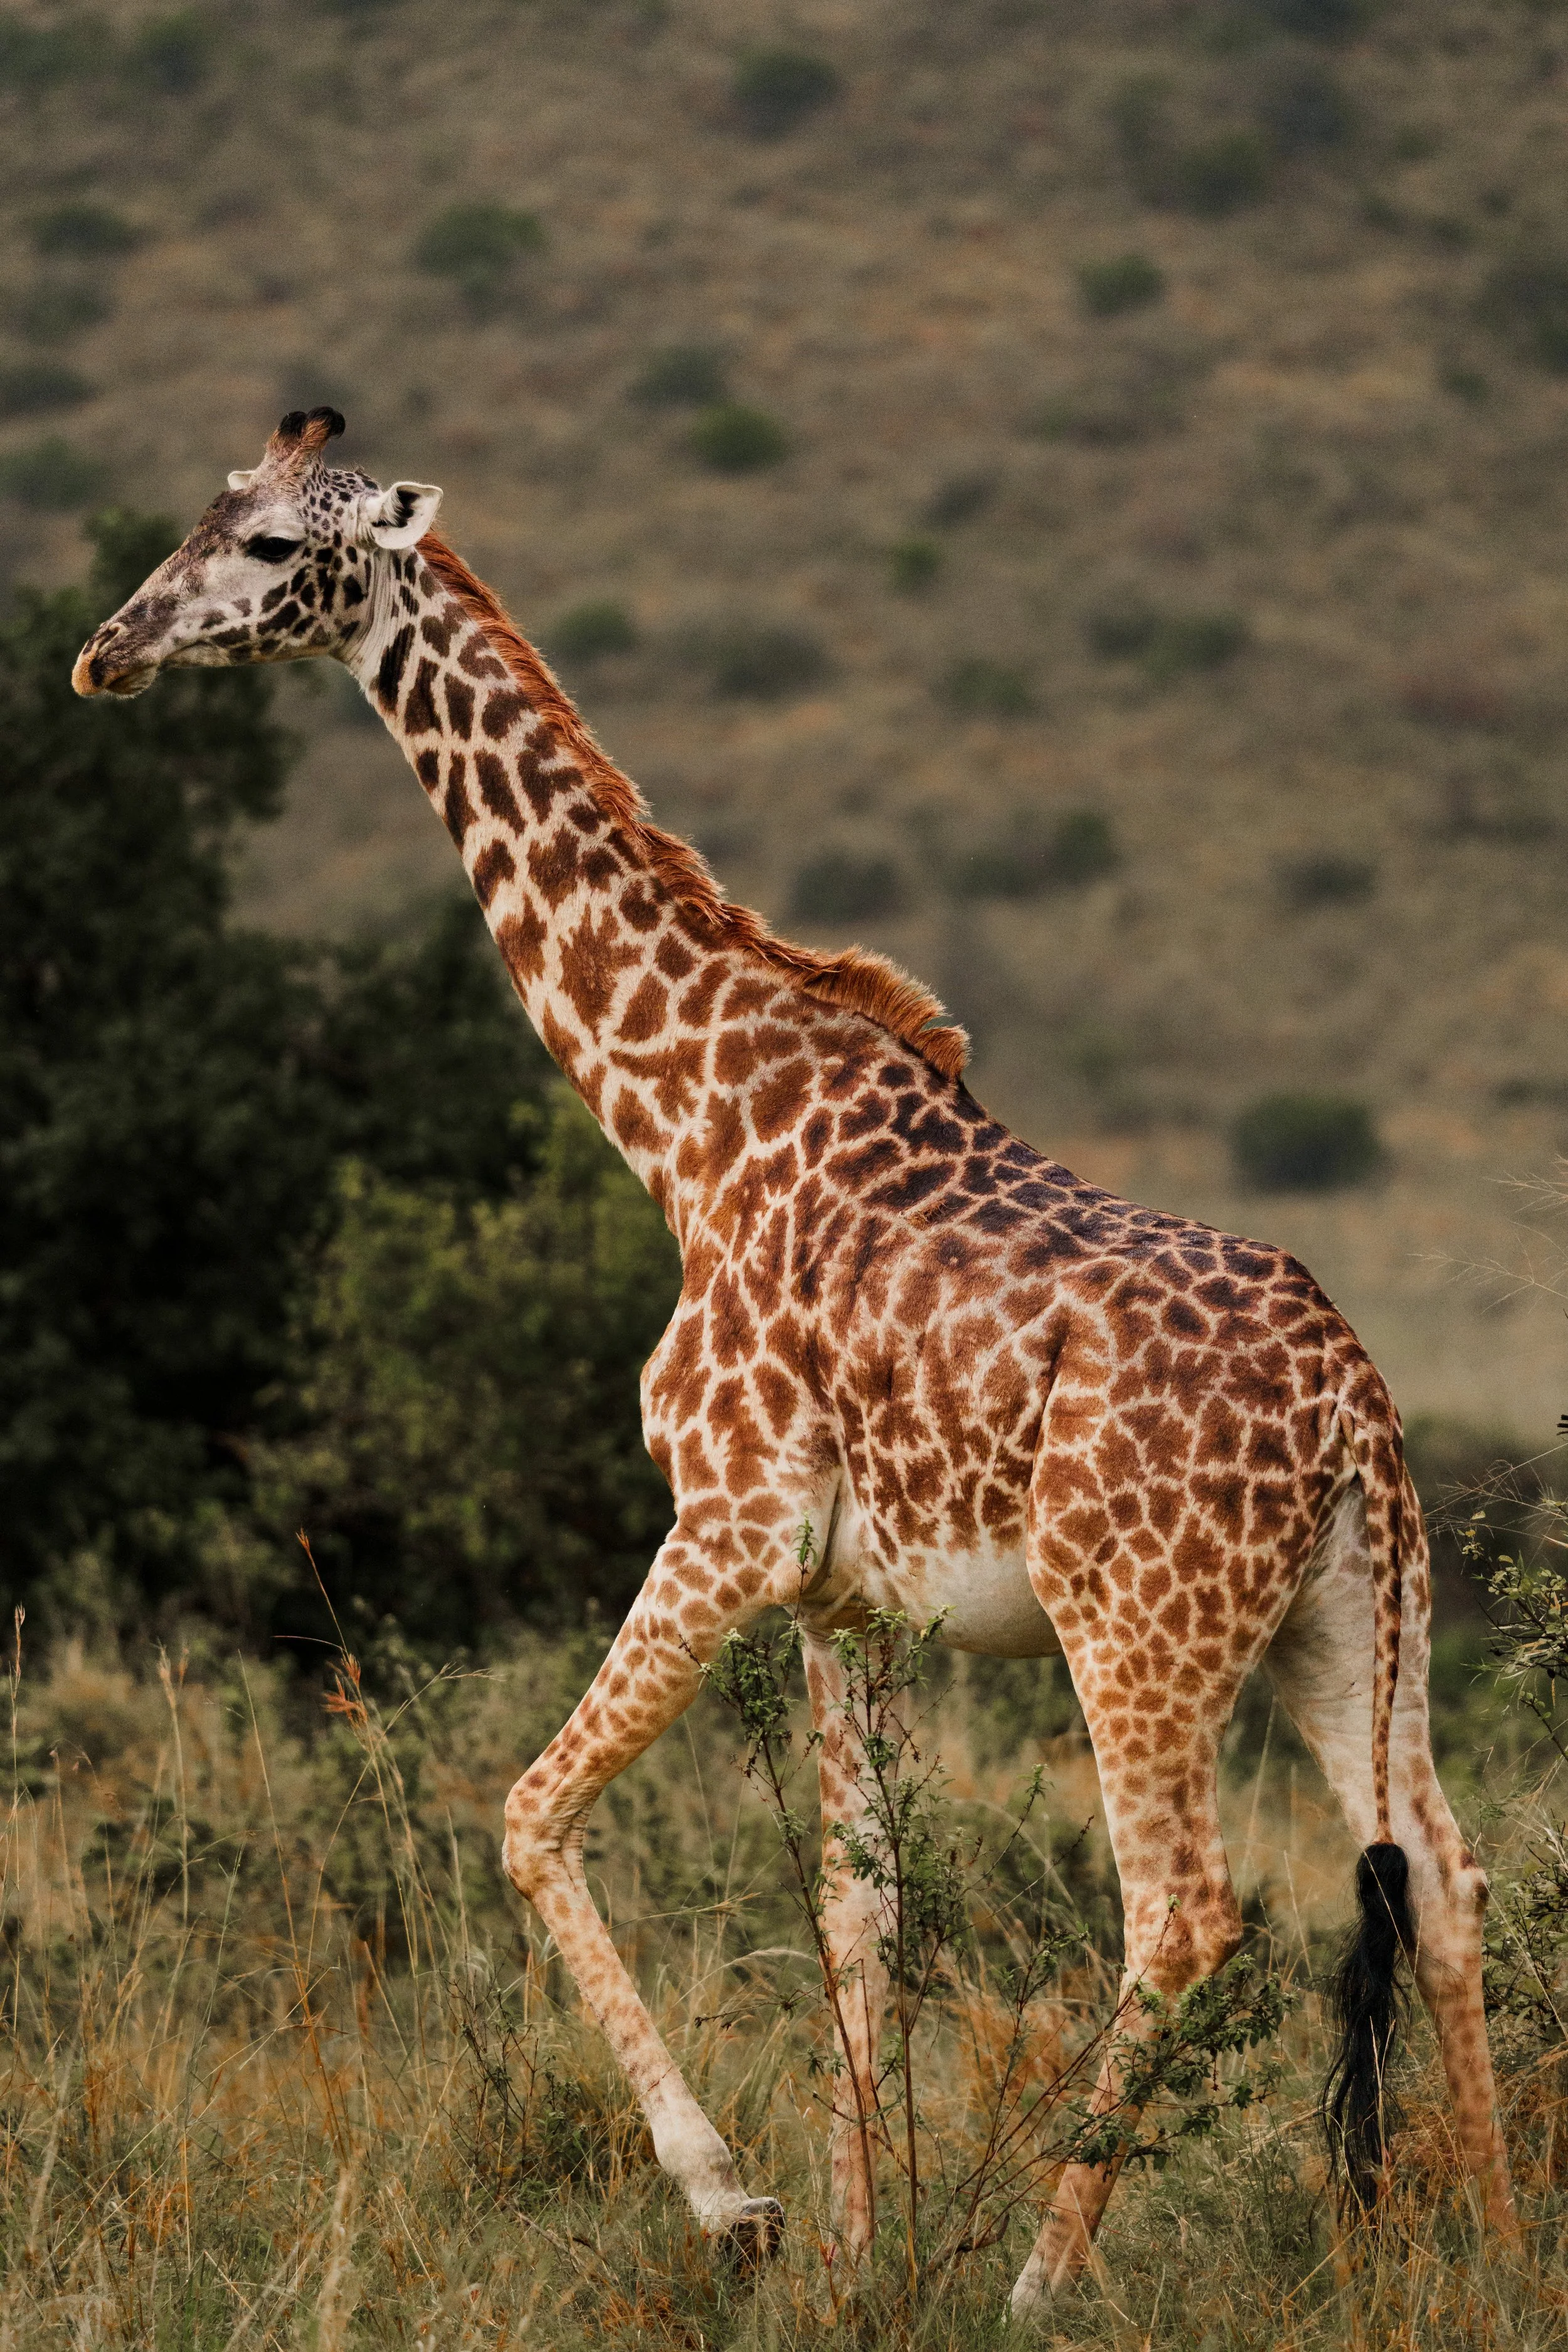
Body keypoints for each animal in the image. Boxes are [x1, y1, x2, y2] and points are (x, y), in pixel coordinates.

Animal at [74, 410, 1516, 2305]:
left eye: (260, 549)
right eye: (199, 512)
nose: (106, 651)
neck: (688, 1122)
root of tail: (1356, 1406)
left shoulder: (730, 1519)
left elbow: (528, 1811)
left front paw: (733, 2201)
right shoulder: (849, 1600)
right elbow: (856, 1907)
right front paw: (849, 2244)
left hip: (1139, 1623)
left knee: (1186, 1906)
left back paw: (1038, 2283)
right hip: (1350, 1619)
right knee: (1444, 1872)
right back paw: (1501, 2248)